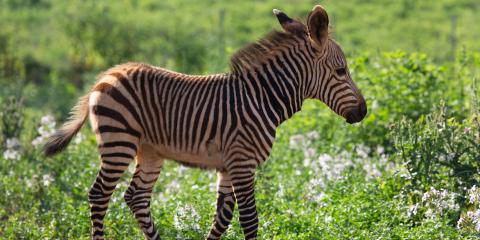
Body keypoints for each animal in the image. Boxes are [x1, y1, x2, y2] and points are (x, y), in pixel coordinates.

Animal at [45, 5, 368, 240]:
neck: (262, 98)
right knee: (100, 194)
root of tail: (105, 75)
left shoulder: (228, 165)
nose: (363, 112)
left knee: (136, 197)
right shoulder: (242, 162)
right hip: (118, 141)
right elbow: (249, 219)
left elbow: (222, 218)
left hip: (149, 151)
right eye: (341, 71)